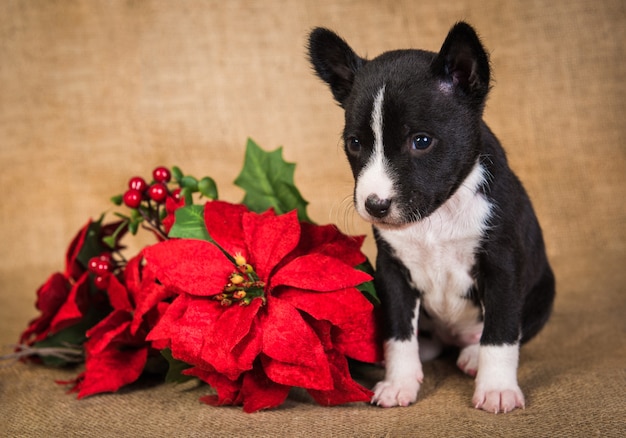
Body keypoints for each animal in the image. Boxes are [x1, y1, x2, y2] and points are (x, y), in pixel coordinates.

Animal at [308, 22, 552, 412]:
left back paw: (472, 355)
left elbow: (500, 334)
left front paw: (497, 388)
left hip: (543, 293)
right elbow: (397, 333)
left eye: (421, 141)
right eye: (354, 144)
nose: (376, 205)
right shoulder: (392, 272)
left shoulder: (501, 267)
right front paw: (400, 382)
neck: (437, 217)